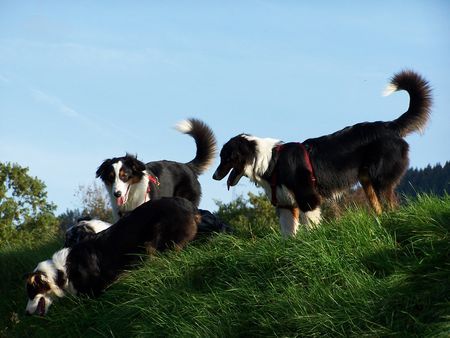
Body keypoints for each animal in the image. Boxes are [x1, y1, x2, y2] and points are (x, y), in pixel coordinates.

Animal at [214, 70, 432, 236]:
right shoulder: (286, 206)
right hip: (368, 182)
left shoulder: (308, 199)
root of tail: (390, 126)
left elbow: (310, 227)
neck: (271, 161)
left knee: (392, 207)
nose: (214, 176)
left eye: (225, 158)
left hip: (380, 181)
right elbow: (288, 235)